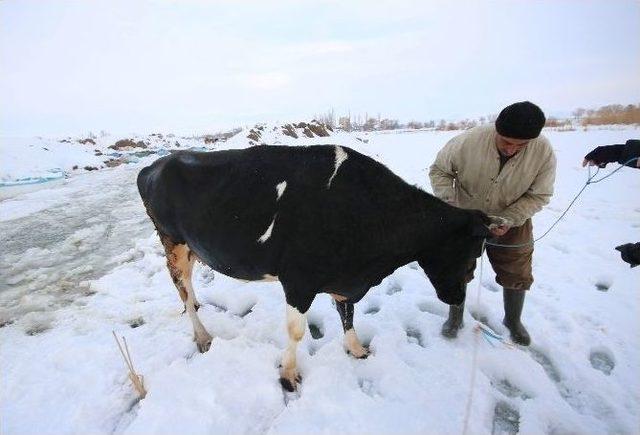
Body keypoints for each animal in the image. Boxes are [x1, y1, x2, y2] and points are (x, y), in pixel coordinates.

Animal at [136, 144, 496, 392]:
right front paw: (288, 375)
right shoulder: (299, 280)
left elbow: (348, 313)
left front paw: (356, 349)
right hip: (172, 241)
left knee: (188, 287)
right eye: (470, 253)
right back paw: (202, 336)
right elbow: (297, 330)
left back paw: (198, 307)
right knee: (181, 287)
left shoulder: (345, 279)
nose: (458, 297)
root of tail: (156, 164)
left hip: (192, 247)